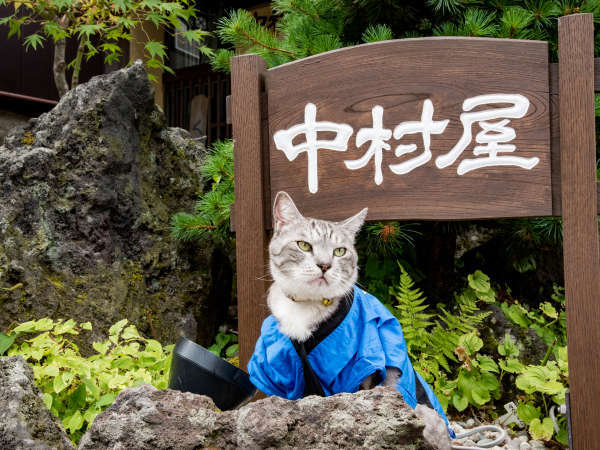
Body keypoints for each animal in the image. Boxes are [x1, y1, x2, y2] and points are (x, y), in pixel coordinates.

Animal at [247, 192, 450, 448]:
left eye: (340, 251)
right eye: (303, 245)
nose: (324, 265)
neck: (306, 307)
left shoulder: (361, 369)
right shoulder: (281, 374)